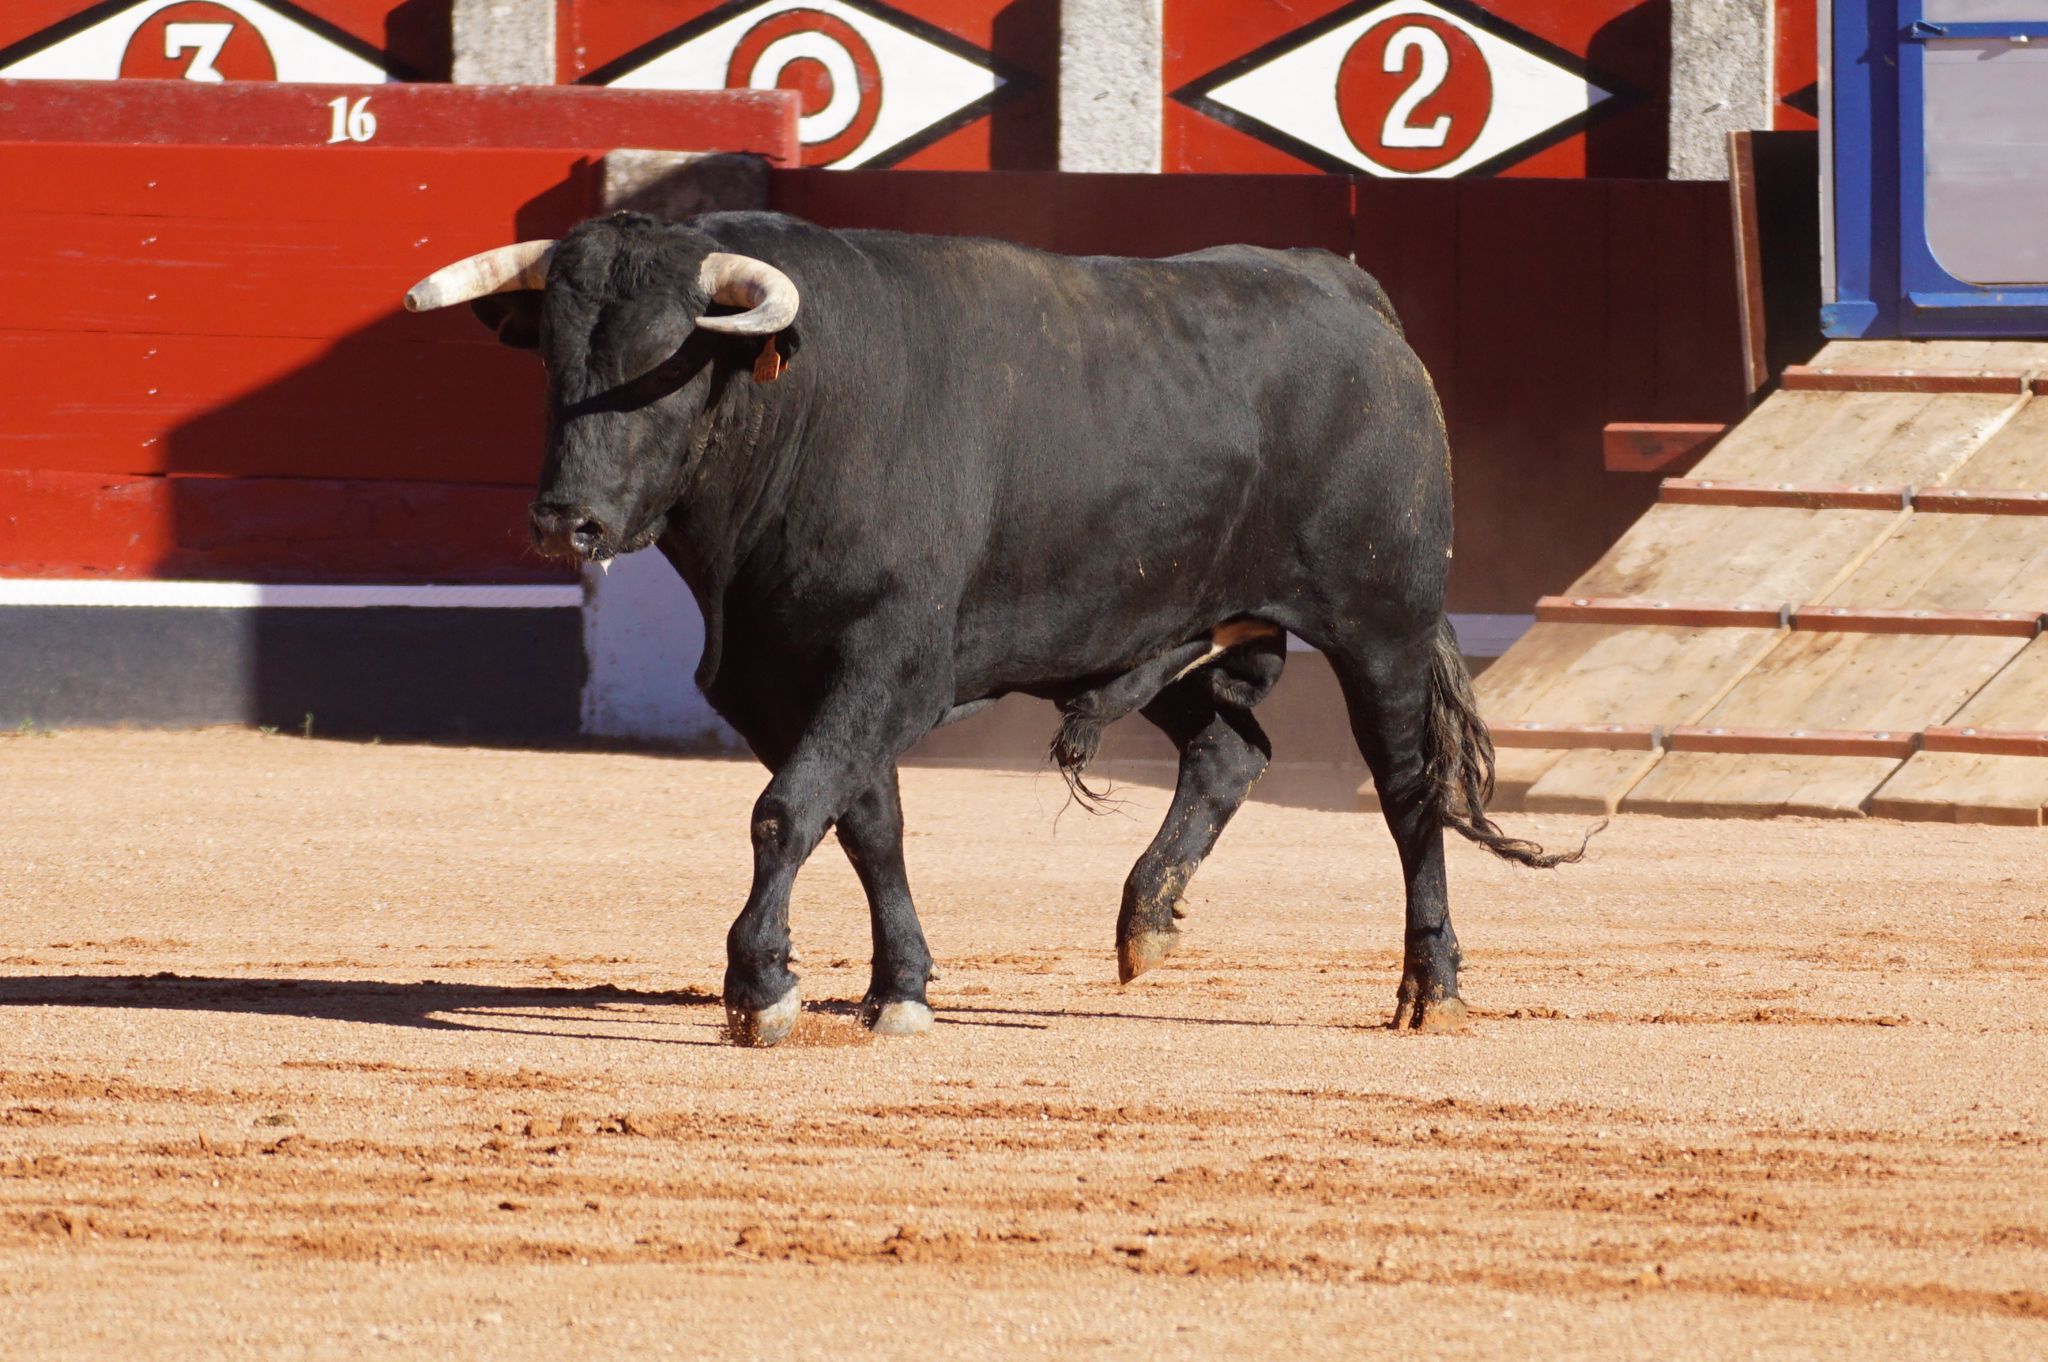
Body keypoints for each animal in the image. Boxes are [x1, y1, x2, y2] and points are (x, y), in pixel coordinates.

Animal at [423, 209, 1572, 1040]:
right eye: (554, 358)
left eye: (668, 362)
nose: (565, 521)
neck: (802, 412)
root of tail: (1342, 288)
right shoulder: (778, 677)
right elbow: (865, 819)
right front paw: (899, 989)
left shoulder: (885, 660)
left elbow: (786, 810)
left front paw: (760, 987)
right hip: (1158, 627)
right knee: (1228, 748)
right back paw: (1146, 921)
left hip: (1382, 626)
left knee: (1408, 796)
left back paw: (1429, 989)